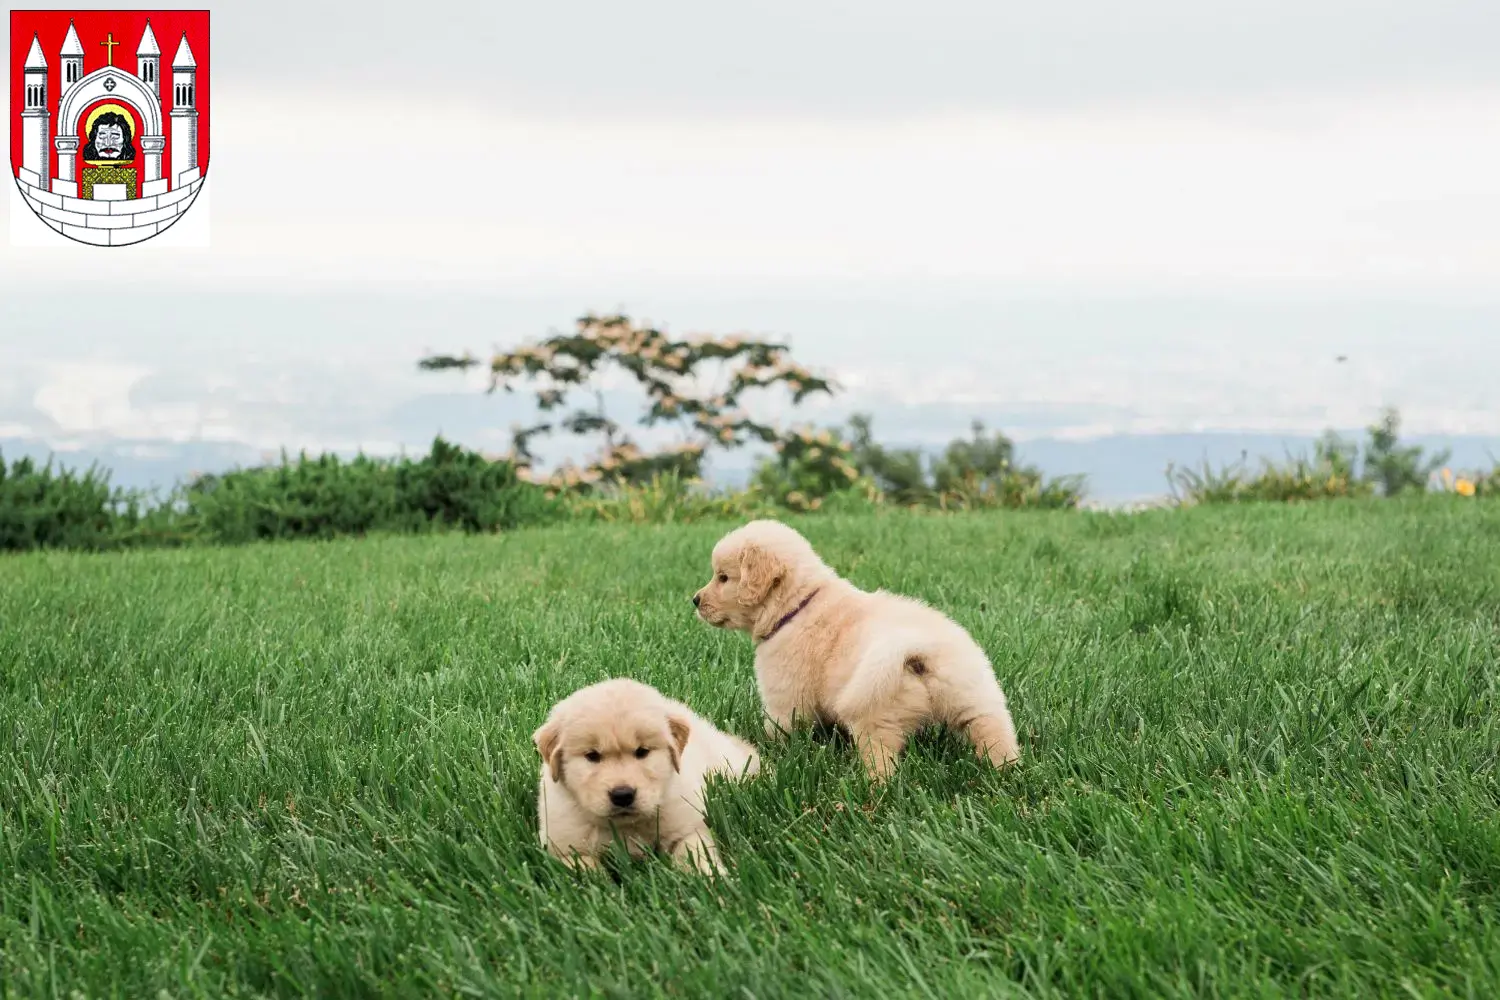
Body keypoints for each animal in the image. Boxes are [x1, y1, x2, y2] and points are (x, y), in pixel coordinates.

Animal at [531, 680, 762, 875]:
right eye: (592, 756)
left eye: (642, 752)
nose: (623, 795)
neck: (626, 827)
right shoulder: (562, 847)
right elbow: (584, 865)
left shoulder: (689, 827)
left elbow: (695, 854)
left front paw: (713, 882)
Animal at [690, 521, 1020, 785]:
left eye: (723, 577)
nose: (695, 600)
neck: (798, 604)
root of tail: (918, 651)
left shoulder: (784, 695)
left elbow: (780, 728)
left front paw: (771, 749)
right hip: (975, 700)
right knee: (995, 734)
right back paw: (1005, 772)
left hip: (876, 719)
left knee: (882, 761)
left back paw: (875, 788)